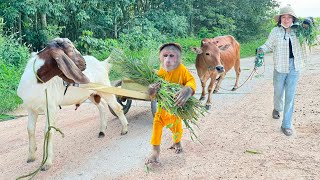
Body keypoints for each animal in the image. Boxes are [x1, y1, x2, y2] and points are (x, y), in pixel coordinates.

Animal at [17, 38, 129, 170]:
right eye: (71, 49)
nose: (84, 64)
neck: (36, 82)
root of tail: (102, 64)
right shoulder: (31, 108)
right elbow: (30, 129)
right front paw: (31, 156)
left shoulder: (51, 107)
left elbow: (48, 131)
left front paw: (47, 163)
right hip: (91, 94)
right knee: (101, 106)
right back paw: (102, 131)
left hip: (105, 89)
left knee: (116, 107)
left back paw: (124, 129)